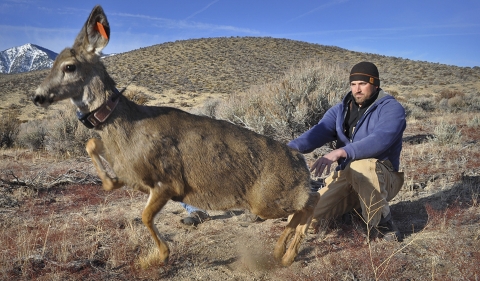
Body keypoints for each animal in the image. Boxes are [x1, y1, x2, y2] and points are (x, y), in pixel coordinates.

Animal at [32, 5, 318, 266]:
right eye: (53, 63)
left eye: (69, 66)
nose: (38, 96)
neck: (128, 129)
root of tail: (299, 160)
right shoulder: (134, 174)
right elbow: (93, 146)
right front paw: (109, 181)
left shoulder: (169, 183)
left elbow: (145, 216)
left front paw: (159, 257)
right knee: (305, 205)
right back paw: (281, 253)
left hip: (266, 199)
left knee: (311, 201)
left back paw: (286, 253)